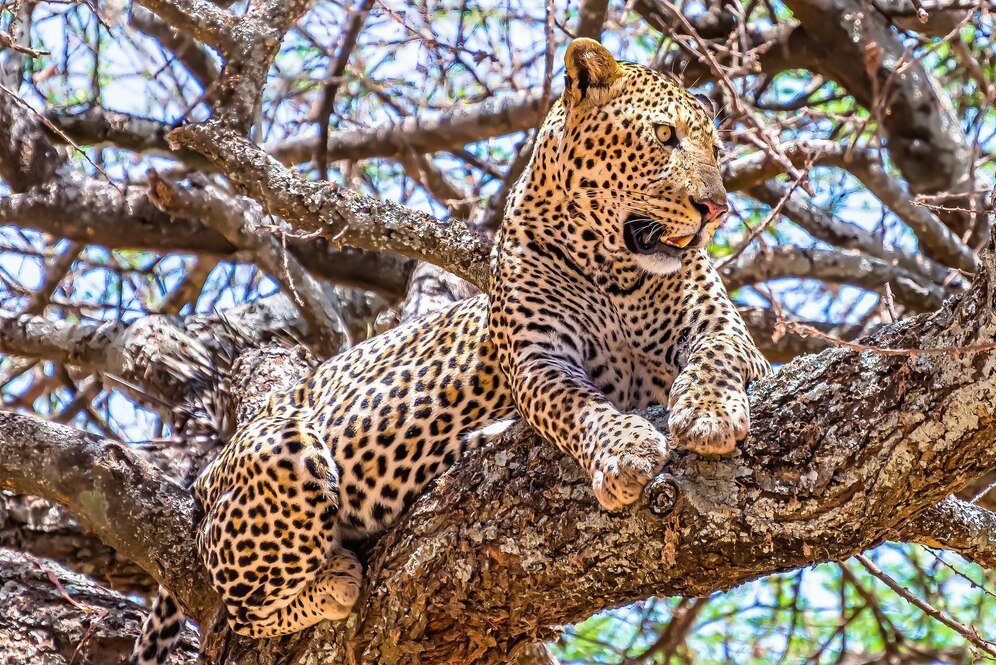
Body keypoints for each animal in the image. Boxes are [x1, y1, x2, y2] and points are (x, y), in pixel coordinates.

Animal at [127, 38, 769, 664]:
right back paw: (334, 581)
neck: (616, 269)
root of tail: (212, 466)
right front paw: (625, 449)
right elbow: (579, 407)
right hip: (283, 451)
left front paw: (708, 414)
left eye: (715, 150)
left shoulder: (725, 332)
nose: (717, 209)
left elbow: (716, 358)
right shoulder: (538, 363)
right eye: (664, 136)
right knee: (238, 611)